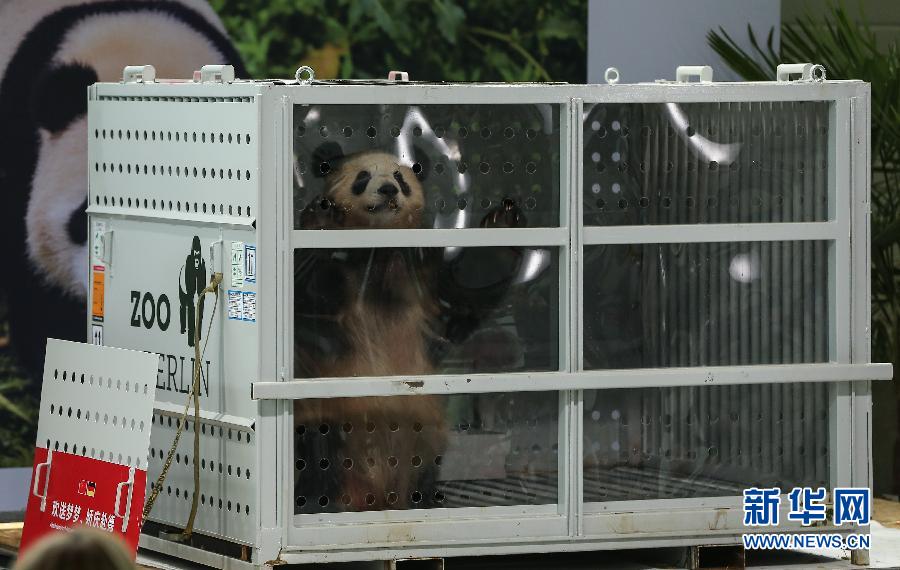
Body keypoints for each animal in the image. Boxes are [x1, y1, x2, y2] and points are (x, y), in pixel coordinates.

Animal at [292, 142, 528, 510]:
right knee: (318, 449)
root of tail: (376, 495)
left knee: (425, 458)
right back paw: (320, 500)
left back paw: (426, 498)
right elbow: (308, 300)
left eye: (400, 178)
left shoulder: (419, 274)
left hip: (424, 429)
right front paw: (321, 217)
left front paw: (503, 222)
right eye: (363, 177)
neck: (376, 250)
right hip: (329, 415)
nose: (388, 189)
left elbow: (466, 288)